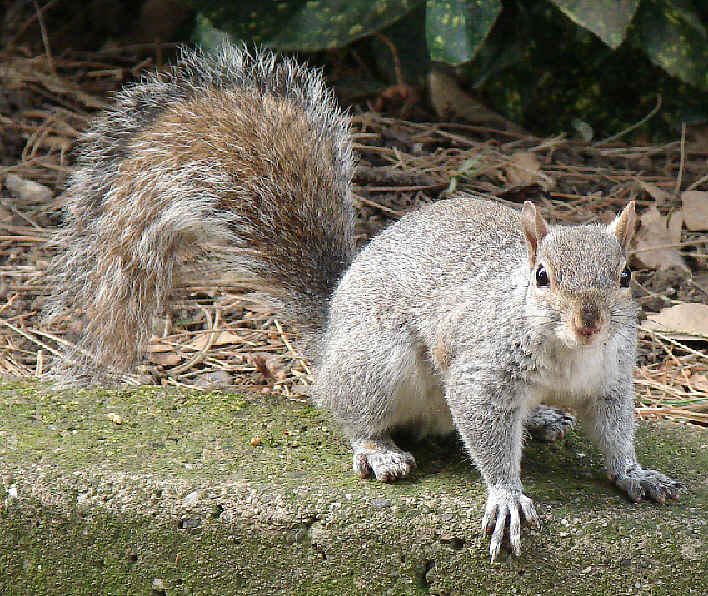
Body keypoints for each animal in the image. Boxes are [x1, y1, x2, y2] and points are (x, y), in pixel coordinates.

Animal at [44, 44, 680, 560]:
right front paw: (505, 495)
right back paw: (379, 449)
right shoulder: (481, 369)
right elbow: (487, 433)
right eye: (542, 276)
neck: (569, 353)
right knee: (348, 410)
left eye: (626, 275)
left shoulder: (609, 378)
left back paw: (544, 419)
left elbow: (615, 430)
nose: (590, 321)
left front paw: (636, 474)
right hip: (377, 362)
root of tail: (331, 328)